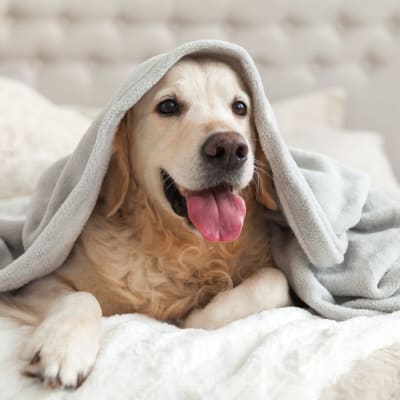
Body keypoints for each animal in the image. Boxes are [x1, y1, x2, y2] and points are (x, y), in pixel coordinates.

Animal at [1, 55, 292, 388]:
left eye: (240, 107)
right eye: (168, 106)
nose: (230, 148)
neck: (181, 247)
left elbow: (275, 281)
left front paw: (197, 317)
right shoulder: (33, 284)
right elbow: (81, 296)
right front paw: (62, 347)